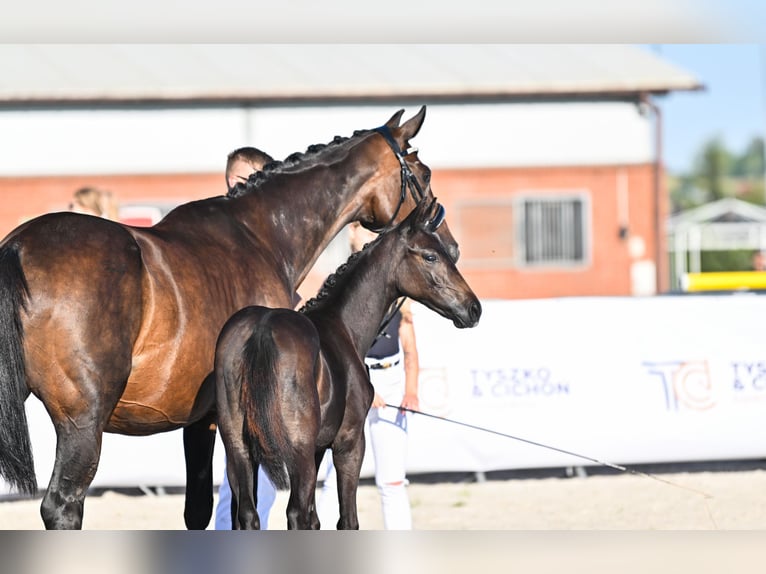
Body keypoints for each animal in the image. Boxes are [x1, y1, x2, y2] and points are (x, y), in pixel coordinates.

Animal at [215, 197, 481, 529]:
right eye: (431, 255)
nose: (474, 308)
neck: (342, 326)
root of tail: (261, 328)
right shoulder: (349, 443)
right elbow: (346, 519)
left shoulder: (318, 449)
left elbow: (316, 520)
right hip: (297, 455)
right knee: (294, 513)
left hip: (238, 451)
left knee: (248, 516)